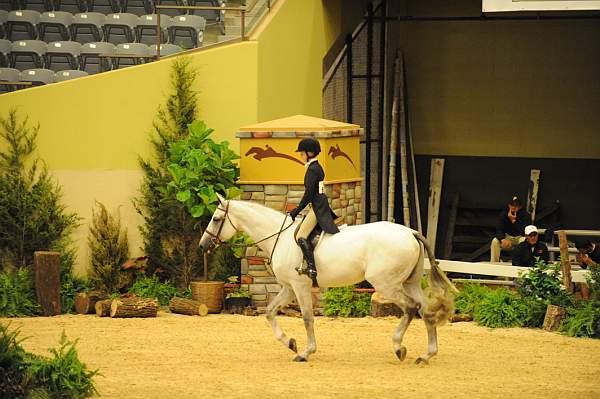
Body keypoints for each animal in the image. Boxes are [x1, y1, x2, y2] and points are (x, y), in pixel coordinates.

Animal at [199, 197, 458, 366]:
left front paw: (305, 352)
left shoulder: (300, 286)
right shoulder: (288, 287)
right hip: (409, 283)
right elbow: (270, 312)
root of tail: (410, 232)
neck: (280, 237)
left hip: (387, 285)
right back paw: (426, 355)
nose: (203, 245)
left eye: (216, 219)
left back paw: (398, 347)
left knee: (411, 308)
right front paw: (290, 343)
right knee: (425, 311)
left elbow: (307, 318)